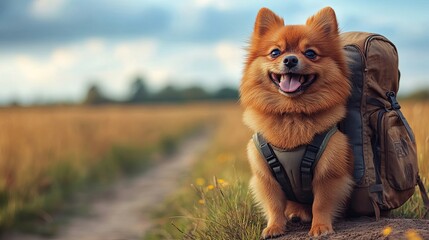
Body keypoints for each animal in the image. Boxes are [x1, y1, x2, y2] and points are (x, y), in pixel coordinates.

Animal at [239, 7, 352, 238]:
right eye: (275, 52)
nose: (290, 60)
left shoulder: (329, 175)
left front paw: (320, 227)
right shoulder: (266, 178)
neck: (292, 115)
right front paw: (274, 227)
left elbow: (321, 203)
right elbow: (274, 205)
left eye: (310, 53)